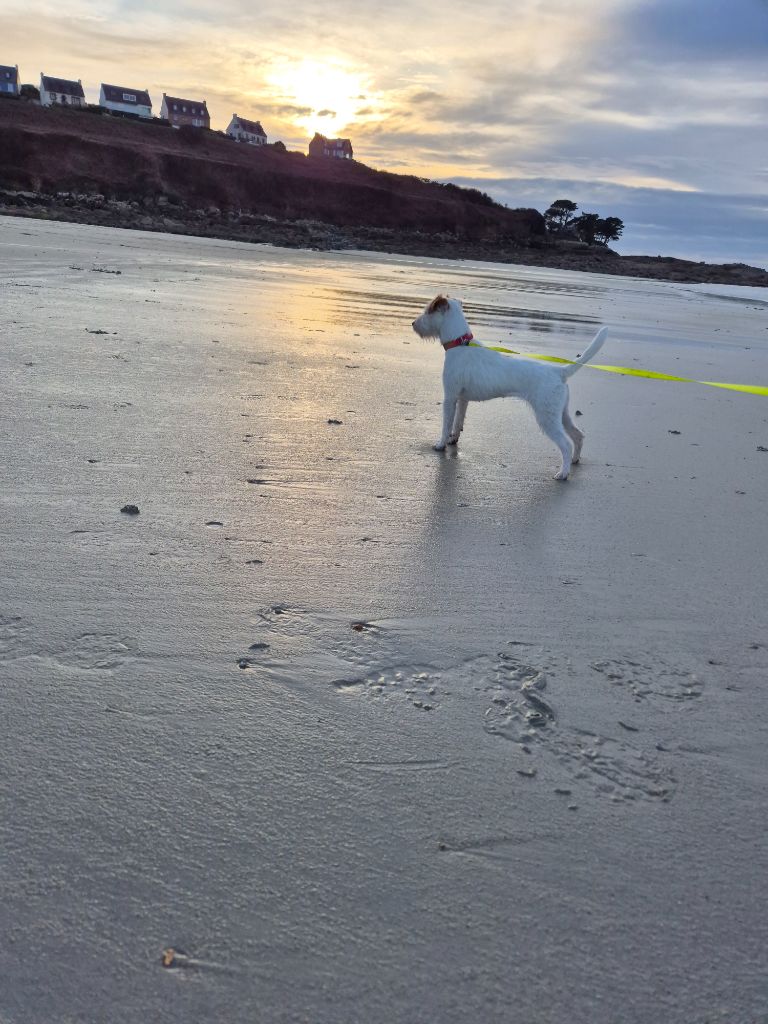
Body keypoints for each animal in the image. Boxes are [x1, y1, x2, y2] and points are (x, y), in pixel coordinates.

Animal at [411, 294, 610, 481]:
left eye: (428, 311)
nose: (413, 323)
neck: (460, 344)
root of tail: (559, 371)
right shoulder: (462, 399)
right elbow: (458, 422)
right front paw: (453, 439)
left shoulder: (450, 397)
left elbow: (446, 424)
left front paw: (441, 444)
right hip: (560, 414)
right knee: (578, 436)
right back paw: (575, 460)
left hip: (547, 418)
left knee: (566, 444)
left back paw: (563, 473)